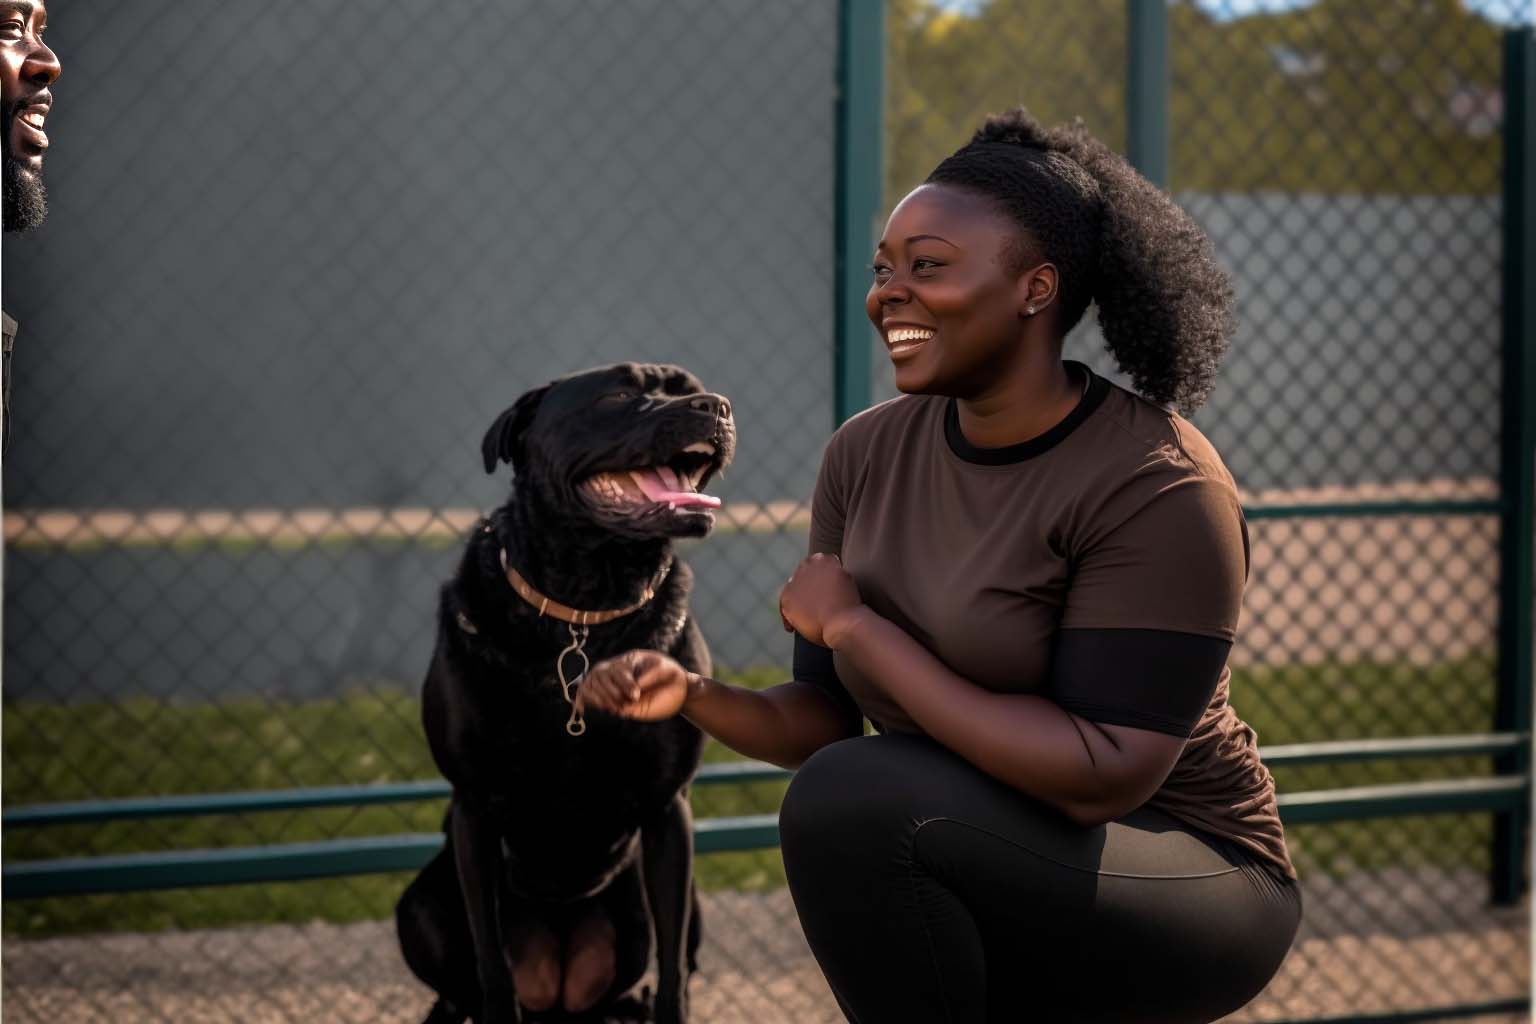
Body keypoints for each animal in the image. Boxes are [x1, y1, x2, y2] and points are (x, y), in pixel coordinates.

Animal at [393, 363, 734, 1019]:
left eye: (689, 388)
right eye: (618, 395)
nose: (717, 407)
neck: (586, 605)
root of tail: (558, 989)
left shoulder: (668, 812)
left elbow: (673, 974)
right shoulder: (474, 807)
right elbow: (493, 968)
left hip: (683, 902)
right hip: (418, 906)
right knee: (458, 987)